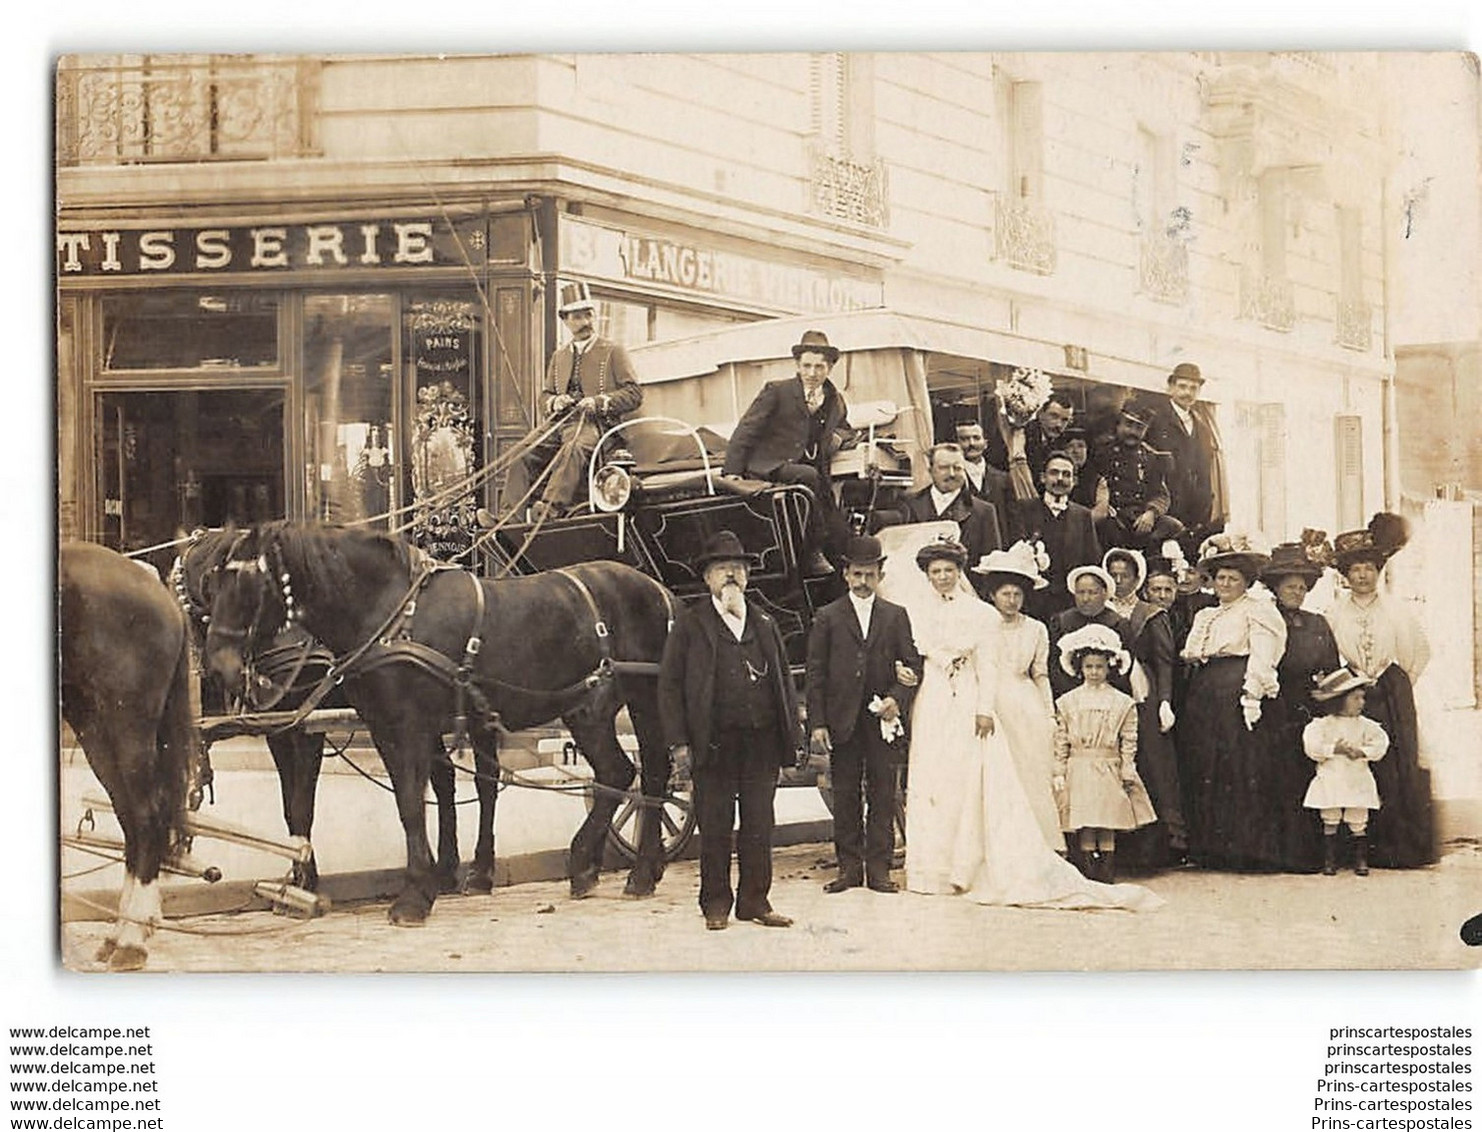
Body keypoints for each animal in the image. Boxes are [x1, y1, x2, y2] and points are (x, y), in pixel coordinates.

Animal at [58, 545, 200, 966]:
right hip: (97, 731)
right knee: (131, 821)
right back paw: (122, 931)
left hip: (127, 727)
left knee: (146, 817)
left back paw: (131, 940)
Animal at [171, 530, 465, 894]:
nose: (214, 667)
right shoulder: (279, 731)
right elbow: (289, 807)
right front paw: (298, 871)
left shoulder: (308, 729)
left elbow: (302, 806)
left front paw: (305, 881)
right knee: (438, 777)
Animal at [203, 527, 678, 924]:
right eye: (212, 585)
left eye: (249, 586)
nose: (219, 668)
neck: (390, 613)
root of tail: (659, 591)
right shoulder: (384, 728)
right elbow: (409, 801)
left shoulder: (407, 725)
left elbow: (411, 804)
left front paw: (415, 895)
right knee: (647, 771)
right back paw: (636, 867)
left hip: (606, 704)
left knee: (622, 771)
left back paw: (601, 865)